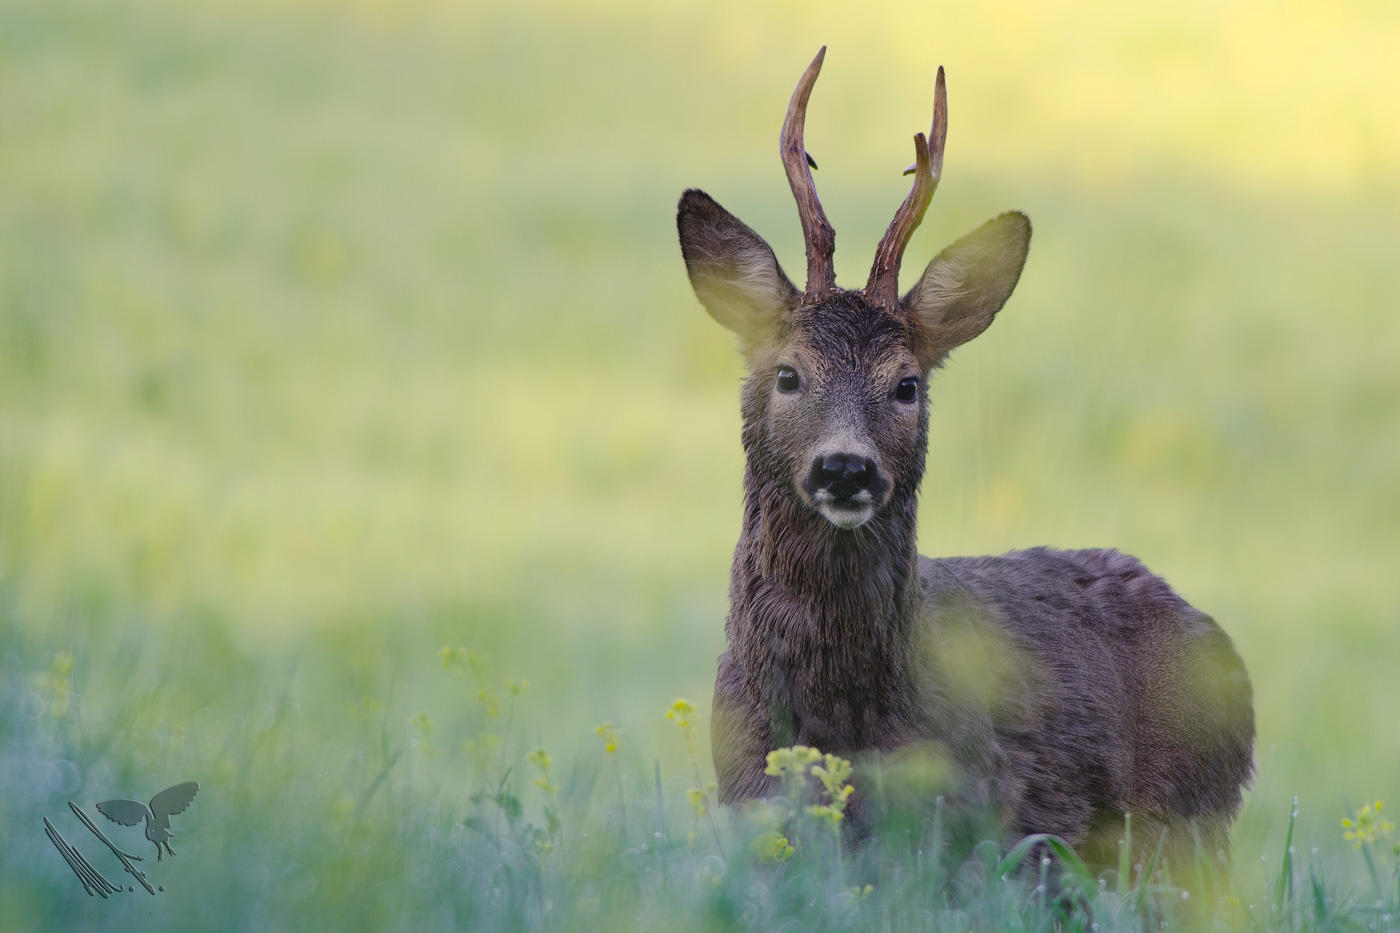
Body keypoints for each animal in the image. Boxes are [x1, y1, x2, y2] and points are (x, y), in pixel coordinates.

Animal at [675, 48, 1254, 872]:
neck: (840, 715)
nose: (845, 469)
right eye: (787, 374)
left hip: (1189, 826)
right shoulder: (749, 795)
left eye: (906, 384)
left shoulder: (970, 816)